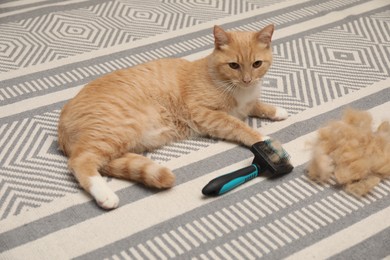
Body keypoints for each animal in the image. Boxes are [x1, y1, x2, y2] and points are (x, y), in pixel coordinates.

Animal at [58, 24, 290, 209]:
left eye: (257, 64)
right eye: (234, 65)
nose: (247, 80)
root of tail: (61, 124)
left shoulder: (247, 105)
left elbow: (258, 106)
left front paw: (277, 111)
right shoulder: (204, 114)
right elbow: (238, 126)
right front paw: (266, 143)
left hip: (120, 144)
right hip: (116, 130)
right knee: (80, 161)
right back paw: (105, 195)